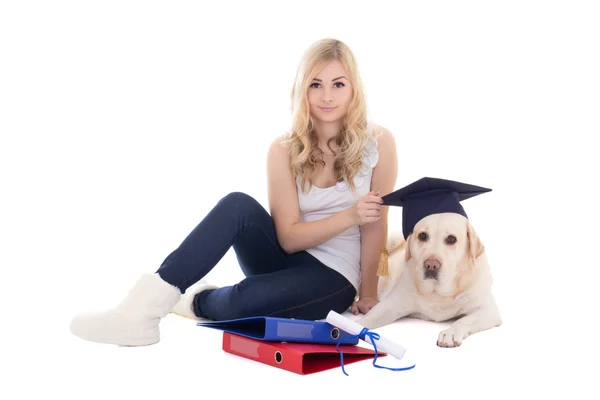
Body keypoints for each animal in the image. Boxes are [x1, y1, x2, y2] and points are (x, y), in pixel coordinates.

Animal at [356, 212, 502, 346]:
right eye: (422, 236)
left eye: (451, 239)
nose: (431, 265)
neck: (437, 293)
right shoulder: (390, 305)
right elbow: (370, 317)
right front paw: (355, 326)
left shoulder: (488, 310)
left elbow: (463, 320)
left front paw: (450, 333)